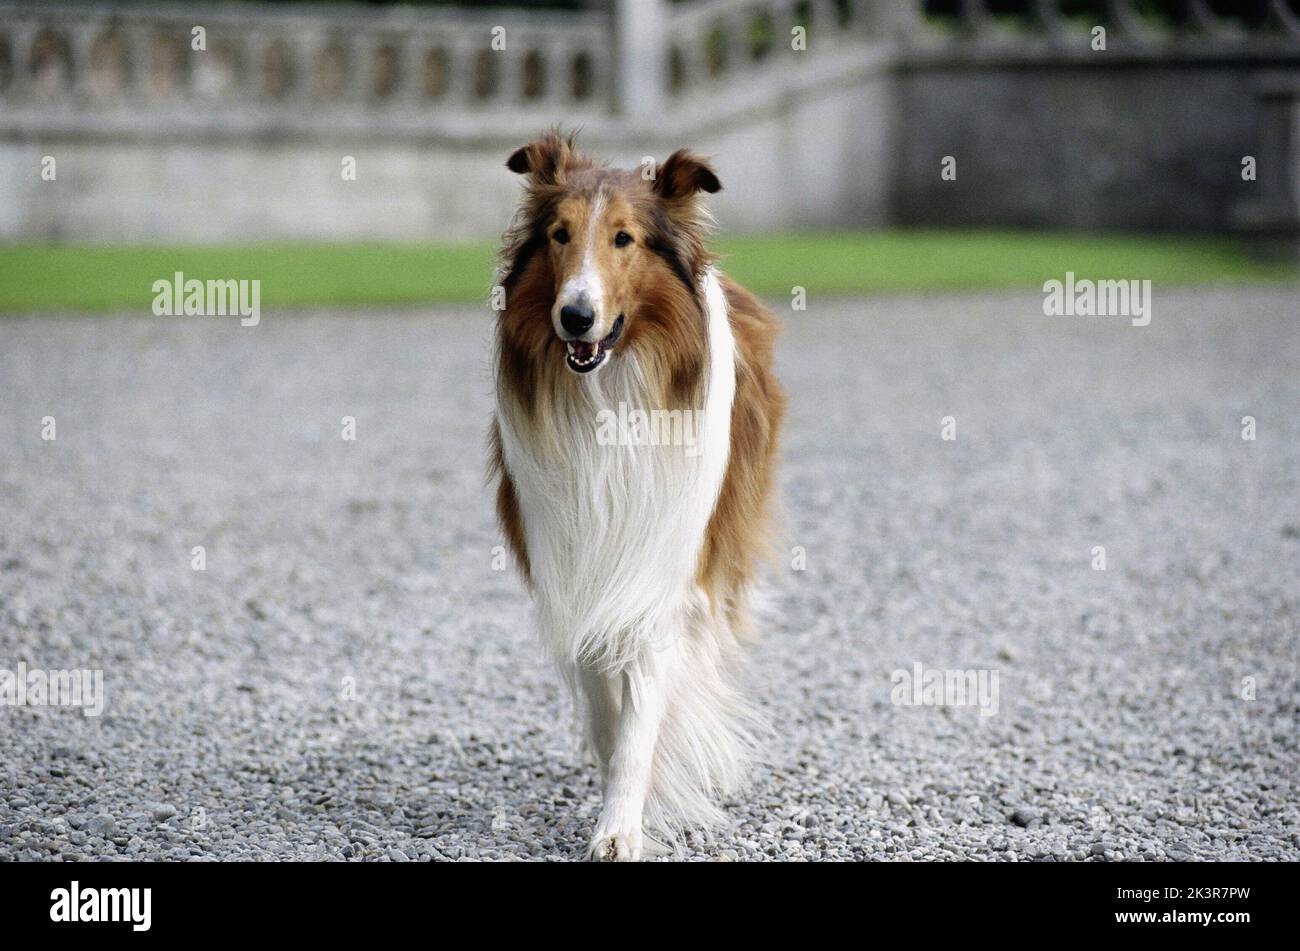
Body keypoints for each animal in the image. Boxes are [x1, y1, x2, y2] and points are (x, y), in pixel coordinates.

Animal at [488, 129, 785, 857]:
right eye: (560, 234)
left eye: (624, 238)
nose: (575, 317)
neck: (610, 391)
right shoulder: (575, 563)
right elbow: (603, 701)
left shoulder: (666, 570)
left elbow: (641, 713)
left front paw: (622, 824)